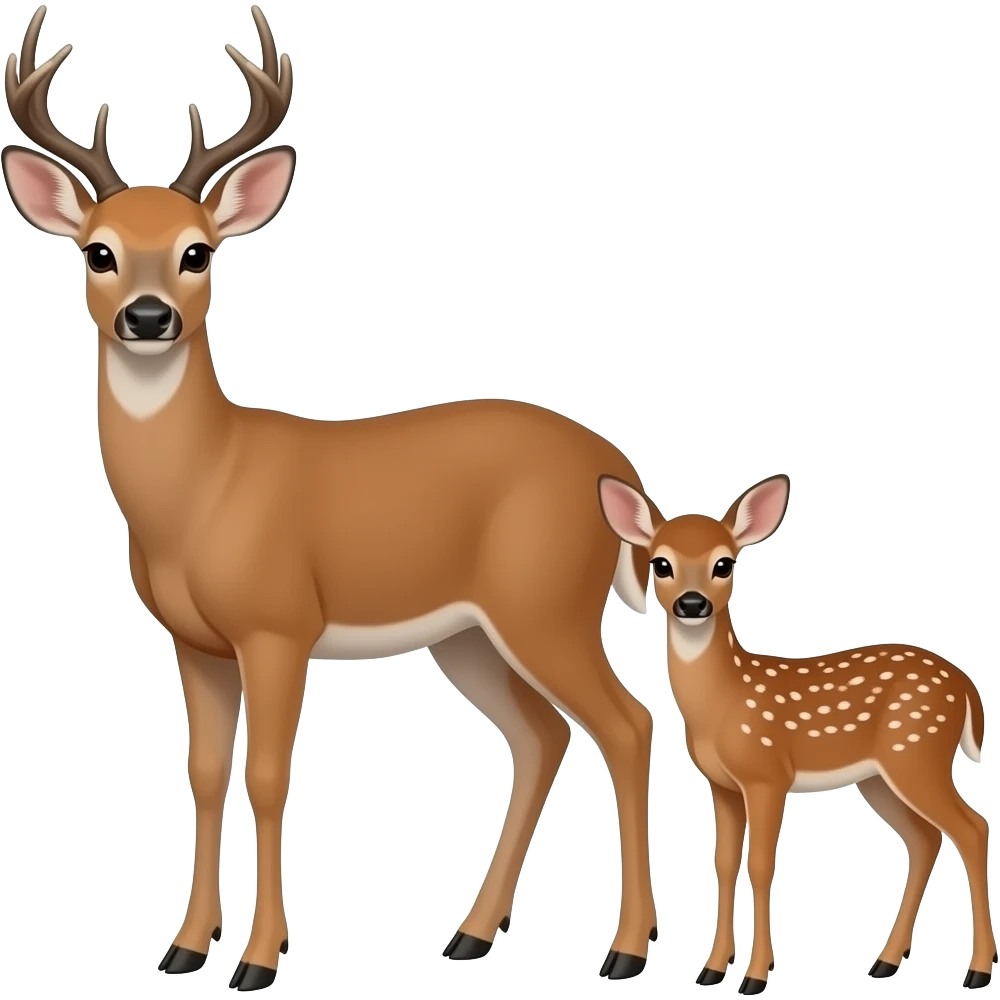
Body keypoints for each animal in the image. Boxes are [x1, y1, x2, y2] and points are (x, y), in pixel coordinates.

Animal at [1, 4, 660, 988]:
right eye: (100, 251)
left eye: (197, 252)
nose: (149, 317)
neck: (204, 488)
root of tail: (616, 468)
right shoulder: (195, 642)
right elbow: (205, 773)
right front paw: (184, 947)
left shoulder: (279, 625)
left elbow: (270, 776)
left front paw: (258, 959)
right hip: (469, 633)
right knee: (543, 735)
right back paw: (470, 934)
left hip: (547, 602)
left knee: (627, 724)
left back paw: (625, 950)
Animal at [597, 472, 997, 993]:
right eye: (660, 563)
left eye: (723, 564)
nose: (692, 603)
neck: (722, 703)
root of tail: (967, 687)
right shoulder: (722, 784)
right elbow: (724, 863)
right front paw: (711, 970)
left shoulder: (768, 775)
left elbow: (761, 864)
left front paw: (755, 977)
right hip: (879, 777)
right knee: (925, 839)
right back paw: (884, 963)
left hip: (917, 753)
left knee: (972, 827)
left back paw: (978, 970)